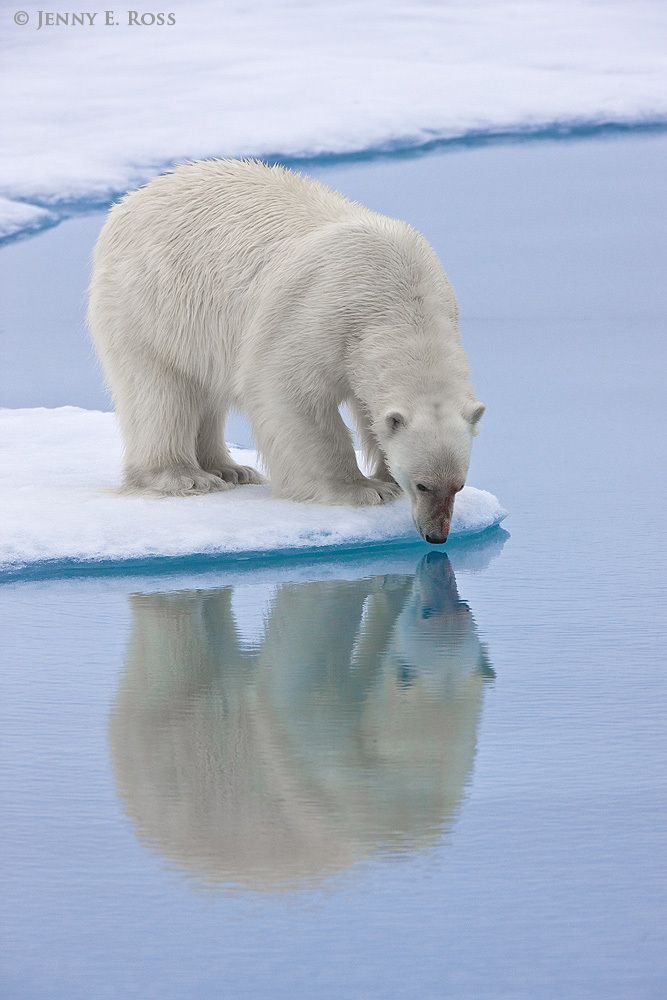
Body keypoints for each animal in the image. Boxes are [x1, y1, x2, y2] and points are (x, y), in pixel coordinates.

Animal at [88, 159, 485, 543]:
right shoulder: (318, 317)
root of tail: (135, 197)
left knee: (207, 389)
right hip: (150, 302)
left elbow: (367, 410)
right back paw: (186, 476)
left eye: (458, 486)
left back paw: (230, 469)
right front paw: (362, 489)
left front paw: (385, 477)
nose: (437, 535)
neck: (400, 296)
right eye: (423, 485)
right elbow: (292, 396)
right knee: (160, 391)